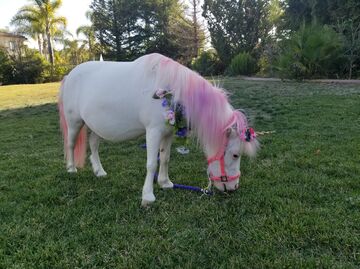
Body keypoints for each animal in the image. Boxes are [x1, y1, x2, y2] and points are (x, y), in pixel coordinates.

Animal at [57, 52, 258, 205]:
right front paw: (147, 196)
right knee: (71, 144)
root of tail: (69, 75)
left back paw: (99, 171)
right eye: (235, 155)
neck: (171, 91)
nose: (233, 188)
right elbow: (152, 163)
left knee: (93, 145)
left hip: (96, 126)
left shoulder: (167, 133)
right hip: (75, 122)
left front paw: (165, 182)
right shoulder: (153, 132)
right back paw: (71, 169)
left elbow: (165, 158)